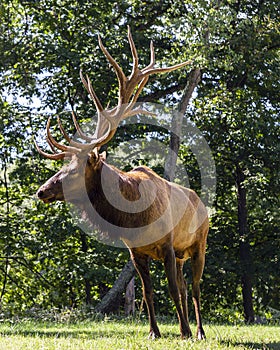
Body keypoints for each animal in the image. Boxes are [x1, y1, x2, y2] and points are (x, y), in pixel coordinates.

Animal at [35, 27, 208, 340]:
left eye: (74, 170)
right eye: (62, 166)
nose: (42, 191)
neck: (134, 217)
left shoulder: (166, 244)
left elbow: (172, 290)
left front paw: (185, 332)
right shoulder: (136, 252)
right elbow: (149, 293)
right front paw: (155, 332)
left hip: (199, 243)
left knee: (196, 288)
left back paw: (199, 331)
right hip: (181, 254)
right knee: (186, 286)